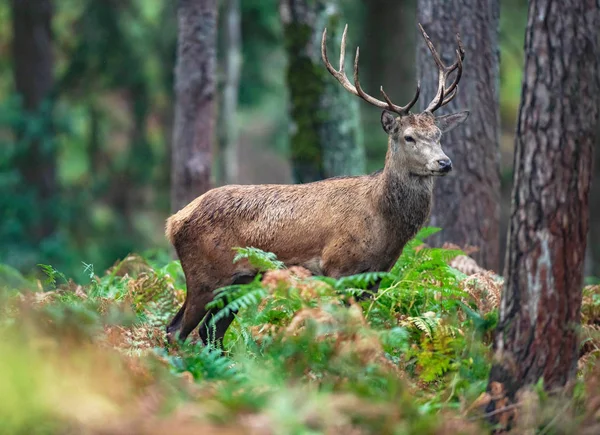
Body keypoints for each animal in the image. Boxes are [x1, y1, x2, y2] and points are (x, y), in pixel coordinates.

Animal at [166, 23, 472, 346]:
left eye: (438, 134)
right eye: (409, 137)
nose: (444, 162)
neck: (383, 224)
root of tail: (173, 221)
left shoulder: (374, 277)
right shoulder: (337, 267)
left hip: (240, 281)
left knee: (209, 331)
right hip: (204, 275)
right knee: (176, 330)